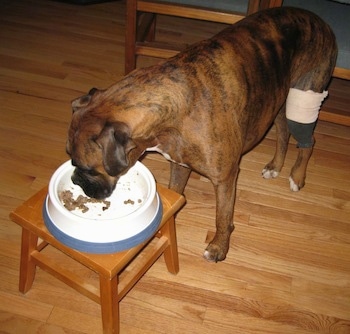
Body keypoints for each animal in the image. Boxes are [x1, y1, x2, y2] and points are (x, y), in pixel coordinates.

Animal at [65, 7, 336, 262]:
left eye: (88, 169)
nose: (75, 180)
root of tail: (318, 19)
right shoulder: (179, 162)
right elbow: (175, 192)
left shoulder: (225, 179)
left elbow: (222, 217)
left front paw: (219, 247)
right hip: (279, 100)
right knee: (283, 133)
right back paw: (276, 166)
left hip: (303, 97)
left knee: (308, 140)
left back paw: (297, 176)